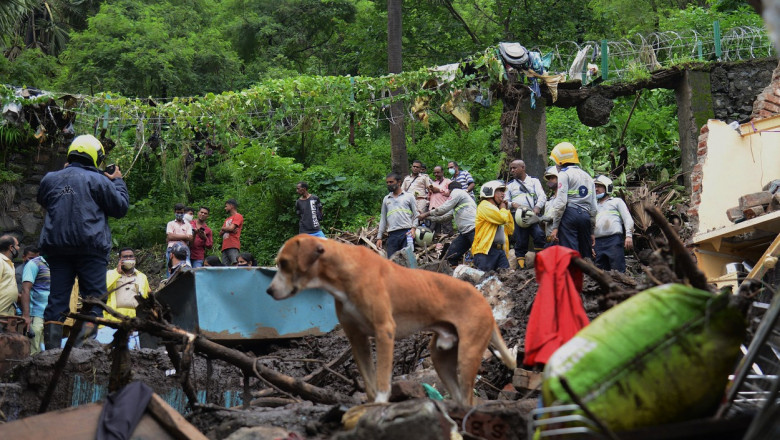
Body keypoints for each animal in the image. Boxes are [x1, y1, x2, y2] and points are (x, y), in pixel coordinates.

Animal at [268, 234, 516, 406]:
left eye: (284, 263)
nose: (268, 291)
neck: (345, 272)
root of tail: (483, 299)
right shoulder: (357, 339)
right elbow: (369, 382)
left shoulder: (384, 332)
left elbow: (382, 380)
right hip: (441, 357)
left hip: (467, 356)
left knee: (468, 398)